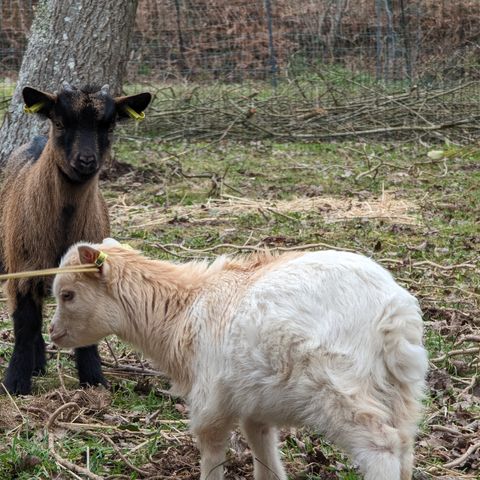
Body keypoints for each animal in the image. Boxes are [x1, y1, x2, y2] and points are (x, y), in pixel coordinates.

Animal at [50, 244, 426, 480]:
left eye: (67, 294)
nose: (53, 334)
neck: (182, 310)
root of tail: (392, 310)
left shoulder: (210, 401)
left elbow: (212, 448)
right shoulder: (252, 402)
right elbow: (262, 446)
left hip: (338, 383)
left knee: (381, 445)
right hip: (401, 387)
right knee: (404, 445)